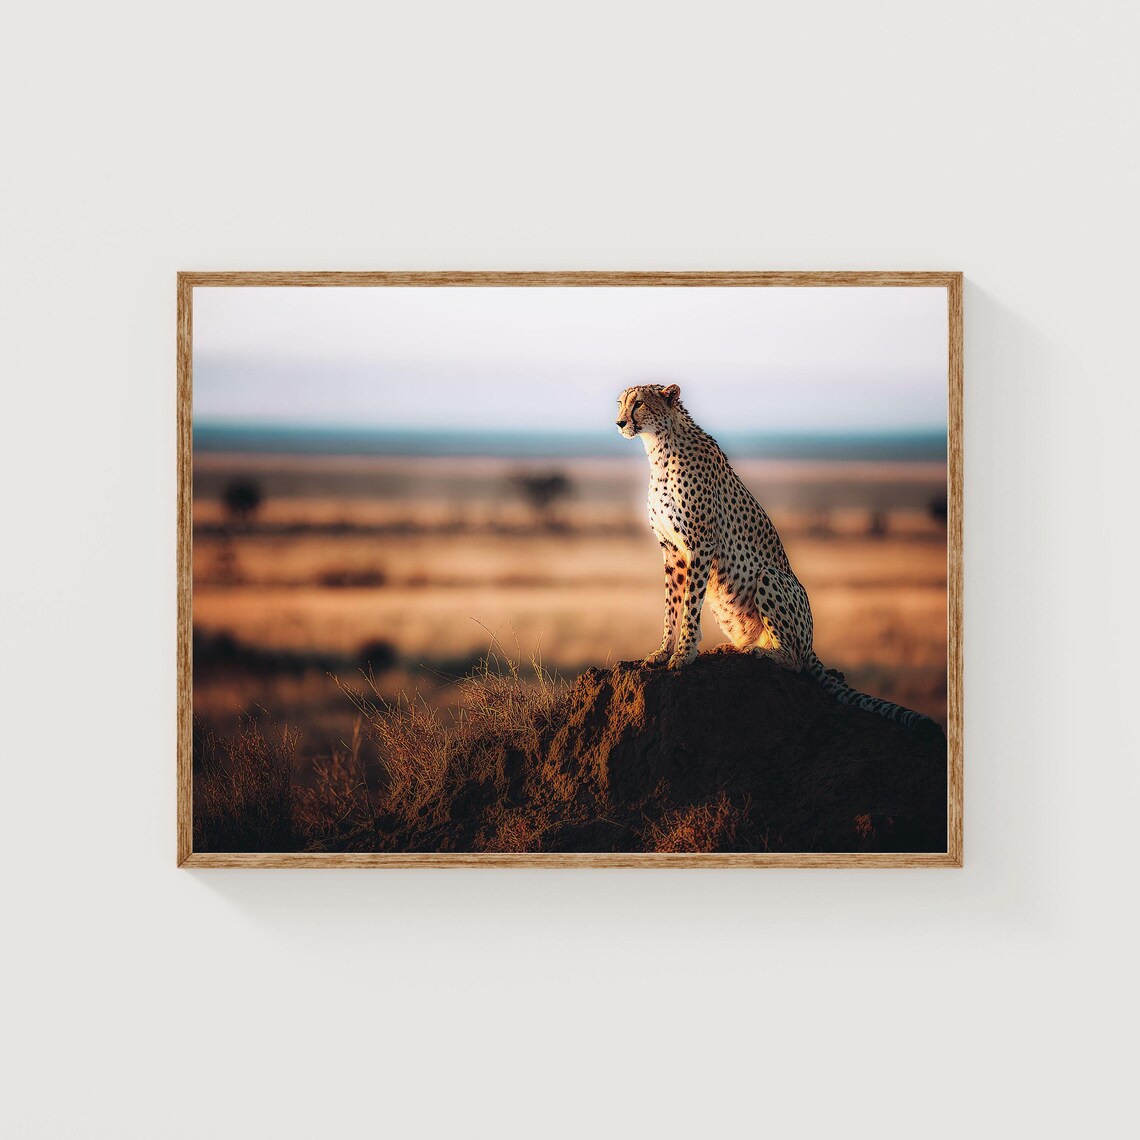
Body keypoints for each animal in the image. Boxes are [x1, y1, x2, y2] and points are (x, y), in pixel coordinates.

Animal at [616, 382, 936, 732]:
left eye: (639, 404)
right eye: (620, 403)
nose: (619, 422)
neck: (659, 447)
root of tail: (811, 645)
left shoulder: (701, 545)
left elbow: (689, 605)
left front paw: (684, 654)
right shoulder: (672, 550)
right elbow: (671, 605)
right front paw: (663, 651)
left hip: (771, 576)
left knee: (795, 660)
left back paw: (763, 654)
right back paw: (738, 647)